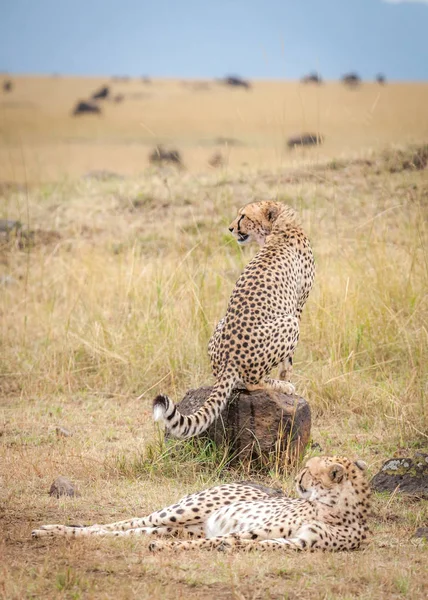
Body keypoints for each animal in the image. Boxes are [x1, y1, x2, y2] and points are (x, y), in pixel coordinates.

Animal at [30, 454, 372, 552]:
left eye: (308, 470)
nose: (296, 478)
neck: (334, 509)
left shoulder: (298, 543)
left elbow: (252, 544)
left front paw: (226, 547)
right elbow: (221, 541)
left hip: (175, 525)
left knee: (121, 532)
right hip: (179, 512)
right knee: (122, 522)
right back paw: (49, 530)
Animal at [152, 199, 312, 438]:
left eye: (243, 216)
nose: (230, 228)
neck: (280, 226)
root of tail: (229, 358)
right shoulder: (297, 309)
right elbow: (288, 364)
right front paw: (287, 382)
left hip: (220, 325)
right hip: (289, 324)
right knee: (251, 382)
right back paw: (280, 386)